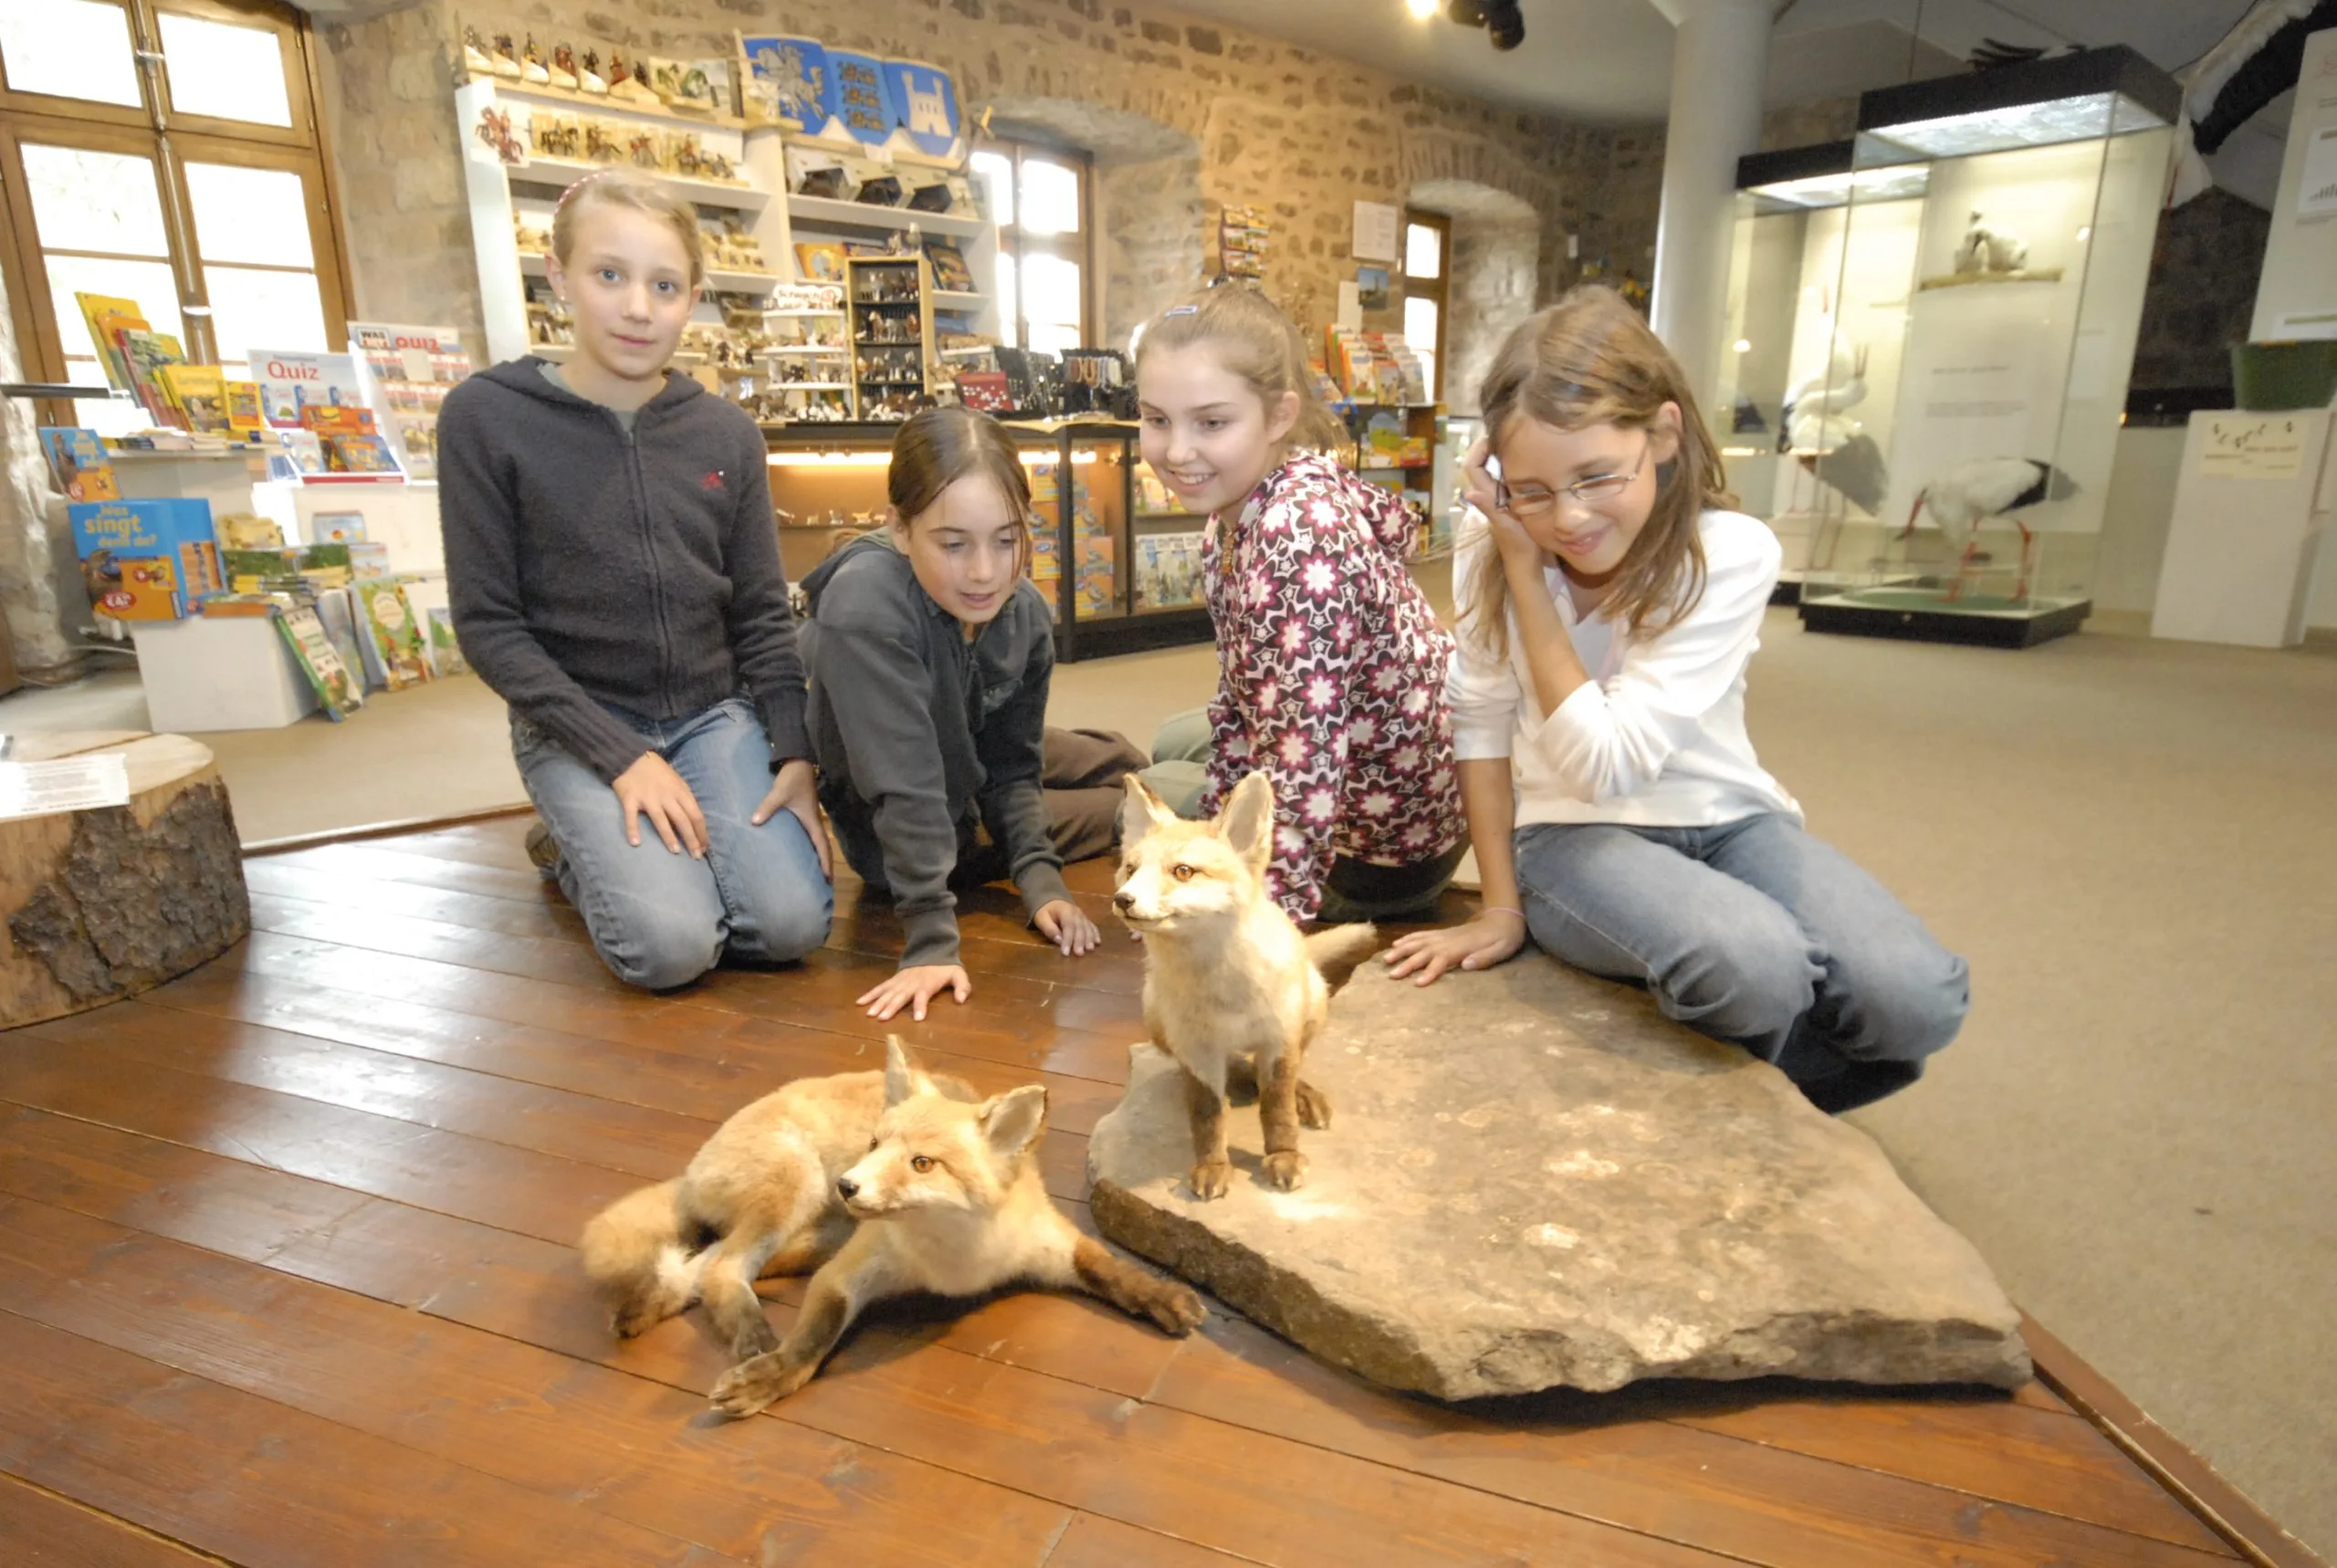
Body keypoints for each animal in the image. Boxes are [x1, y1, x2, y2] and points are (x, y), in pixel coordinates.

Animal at [706, 1038, 1205, 1415]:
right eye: (874, 1144)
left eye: (922, 1163)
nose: (847, 1185)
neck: (959, 1262)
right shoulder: (846, 1271)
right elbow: (814, 1336)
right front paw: (773, 1376)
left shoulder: (1048, 1241)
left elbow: (1112, 1269)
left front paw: (1164, 1297)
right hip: (798, 1192)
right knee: (721, 1268)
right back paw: (749, 1330)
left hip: (820, 1233)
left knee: (711, 1265)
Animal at [1113, 772, 1380, 1199]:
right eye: (1131, 869)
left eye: (1183, 871)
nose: (1122, 899)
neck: (1225, 993)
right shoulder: (1197, 1050)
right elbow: (1206, 1116)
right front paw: (1213, 1165)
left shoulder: (1279, 1040)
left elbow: (1277, 1107)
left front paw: (1284, 1155)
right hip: (1153, 1014)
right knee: (1230, 1070)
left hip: (1314, 1002)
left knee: (1288, 1069)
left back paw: (1303, 1094)